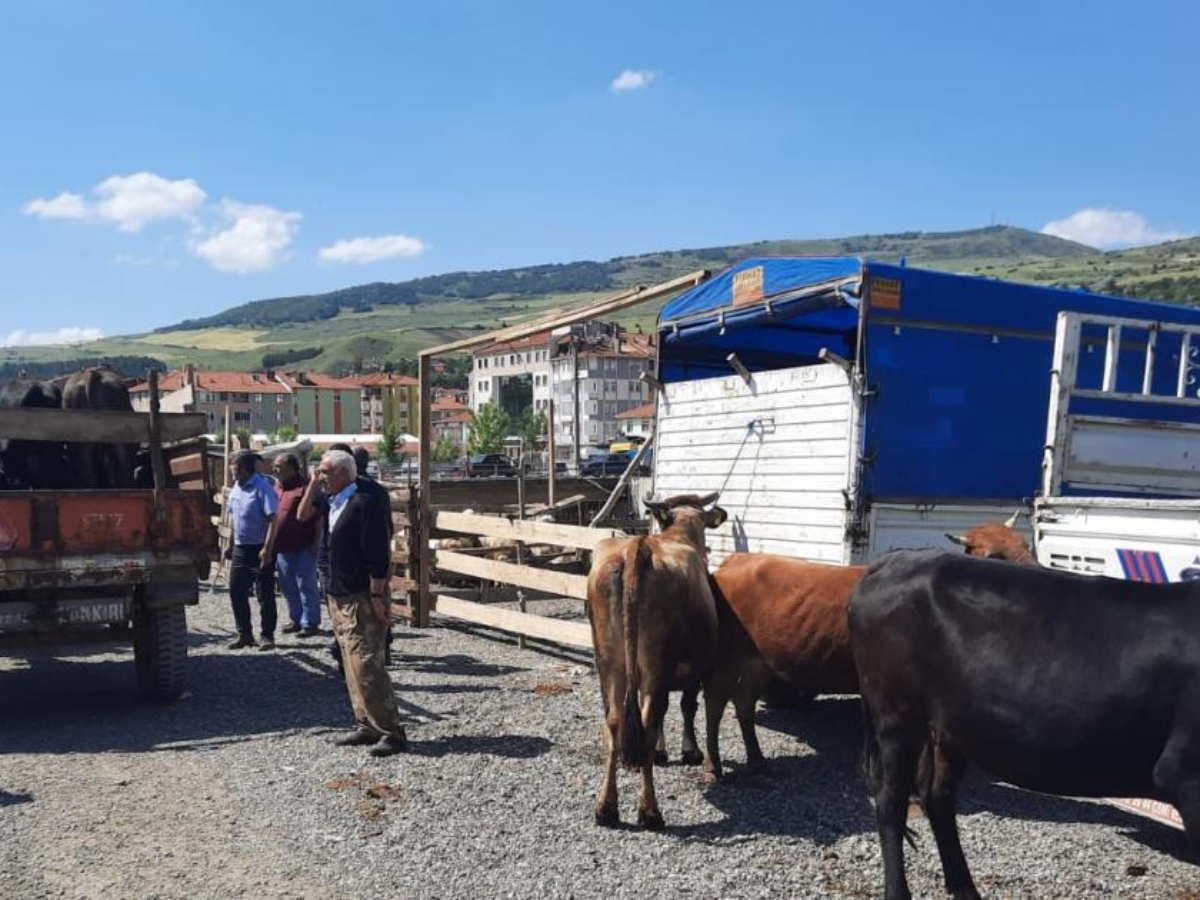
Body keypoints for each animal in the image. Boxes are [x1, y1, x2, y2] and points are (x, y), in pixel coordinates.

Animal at [586, 491, 727, 830]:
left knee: (614, 722)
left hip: (609, 663)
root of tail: (638, 547)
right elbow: (686, 706)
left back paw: (606, 808)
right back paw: (650, 811)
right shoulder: (697, 666)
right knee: (649, 719)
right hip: (655, 663)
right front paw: (689, 750)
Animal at [848, 550, 1200, 900]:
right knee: (891, 801)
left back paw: (966, 889)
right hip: (896, 714)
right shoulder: (1184, 774)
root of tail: (894, 561)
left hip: (952, 726)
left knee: (937, 795)